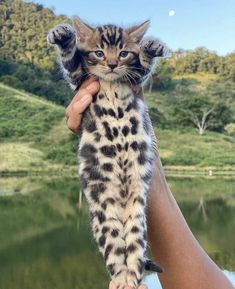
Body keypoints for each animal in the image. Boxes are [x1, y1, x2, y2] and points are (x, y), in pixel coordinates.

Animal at [47, 16, 165, 286]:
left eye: (123, 53)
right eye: (99, 53)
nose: (111, 65)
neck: (111, 83)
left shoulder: (135, 80)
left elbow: (143, 67)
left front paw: (152, 46)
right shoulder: (79, 78)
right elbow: (69, 59)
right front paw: (62, 34)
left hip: (137, 216)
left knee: (134, 249)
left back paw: (132, 278)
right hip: (104, 216)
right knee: (114, 250)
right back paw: (121, 278)